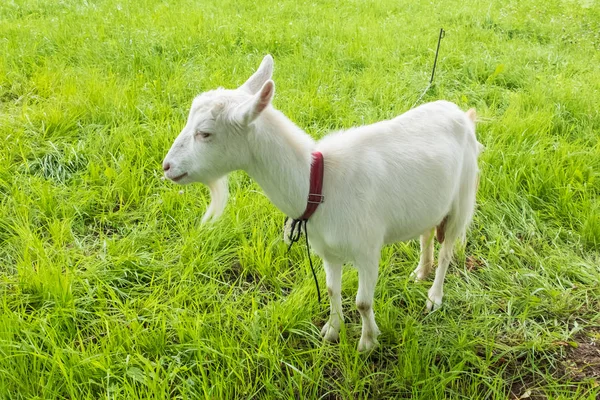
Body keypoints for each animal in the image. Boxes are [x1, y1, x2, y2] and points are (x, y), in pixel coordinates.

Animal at [163, 55, 482, 350]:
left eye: (205, 133)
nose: (167, 167)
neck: (318, 184)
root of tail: (462, 114)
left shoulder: (368, 249)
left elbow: (363, 302)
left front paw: (367, 342)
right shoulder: (328, 250)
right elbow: (330, 290)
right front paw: (331, 331)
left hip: (463, 197)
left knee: (447, 250)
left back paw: (434, 297)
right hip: (433, 201)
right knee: (427, 233)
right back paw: (420, 272)